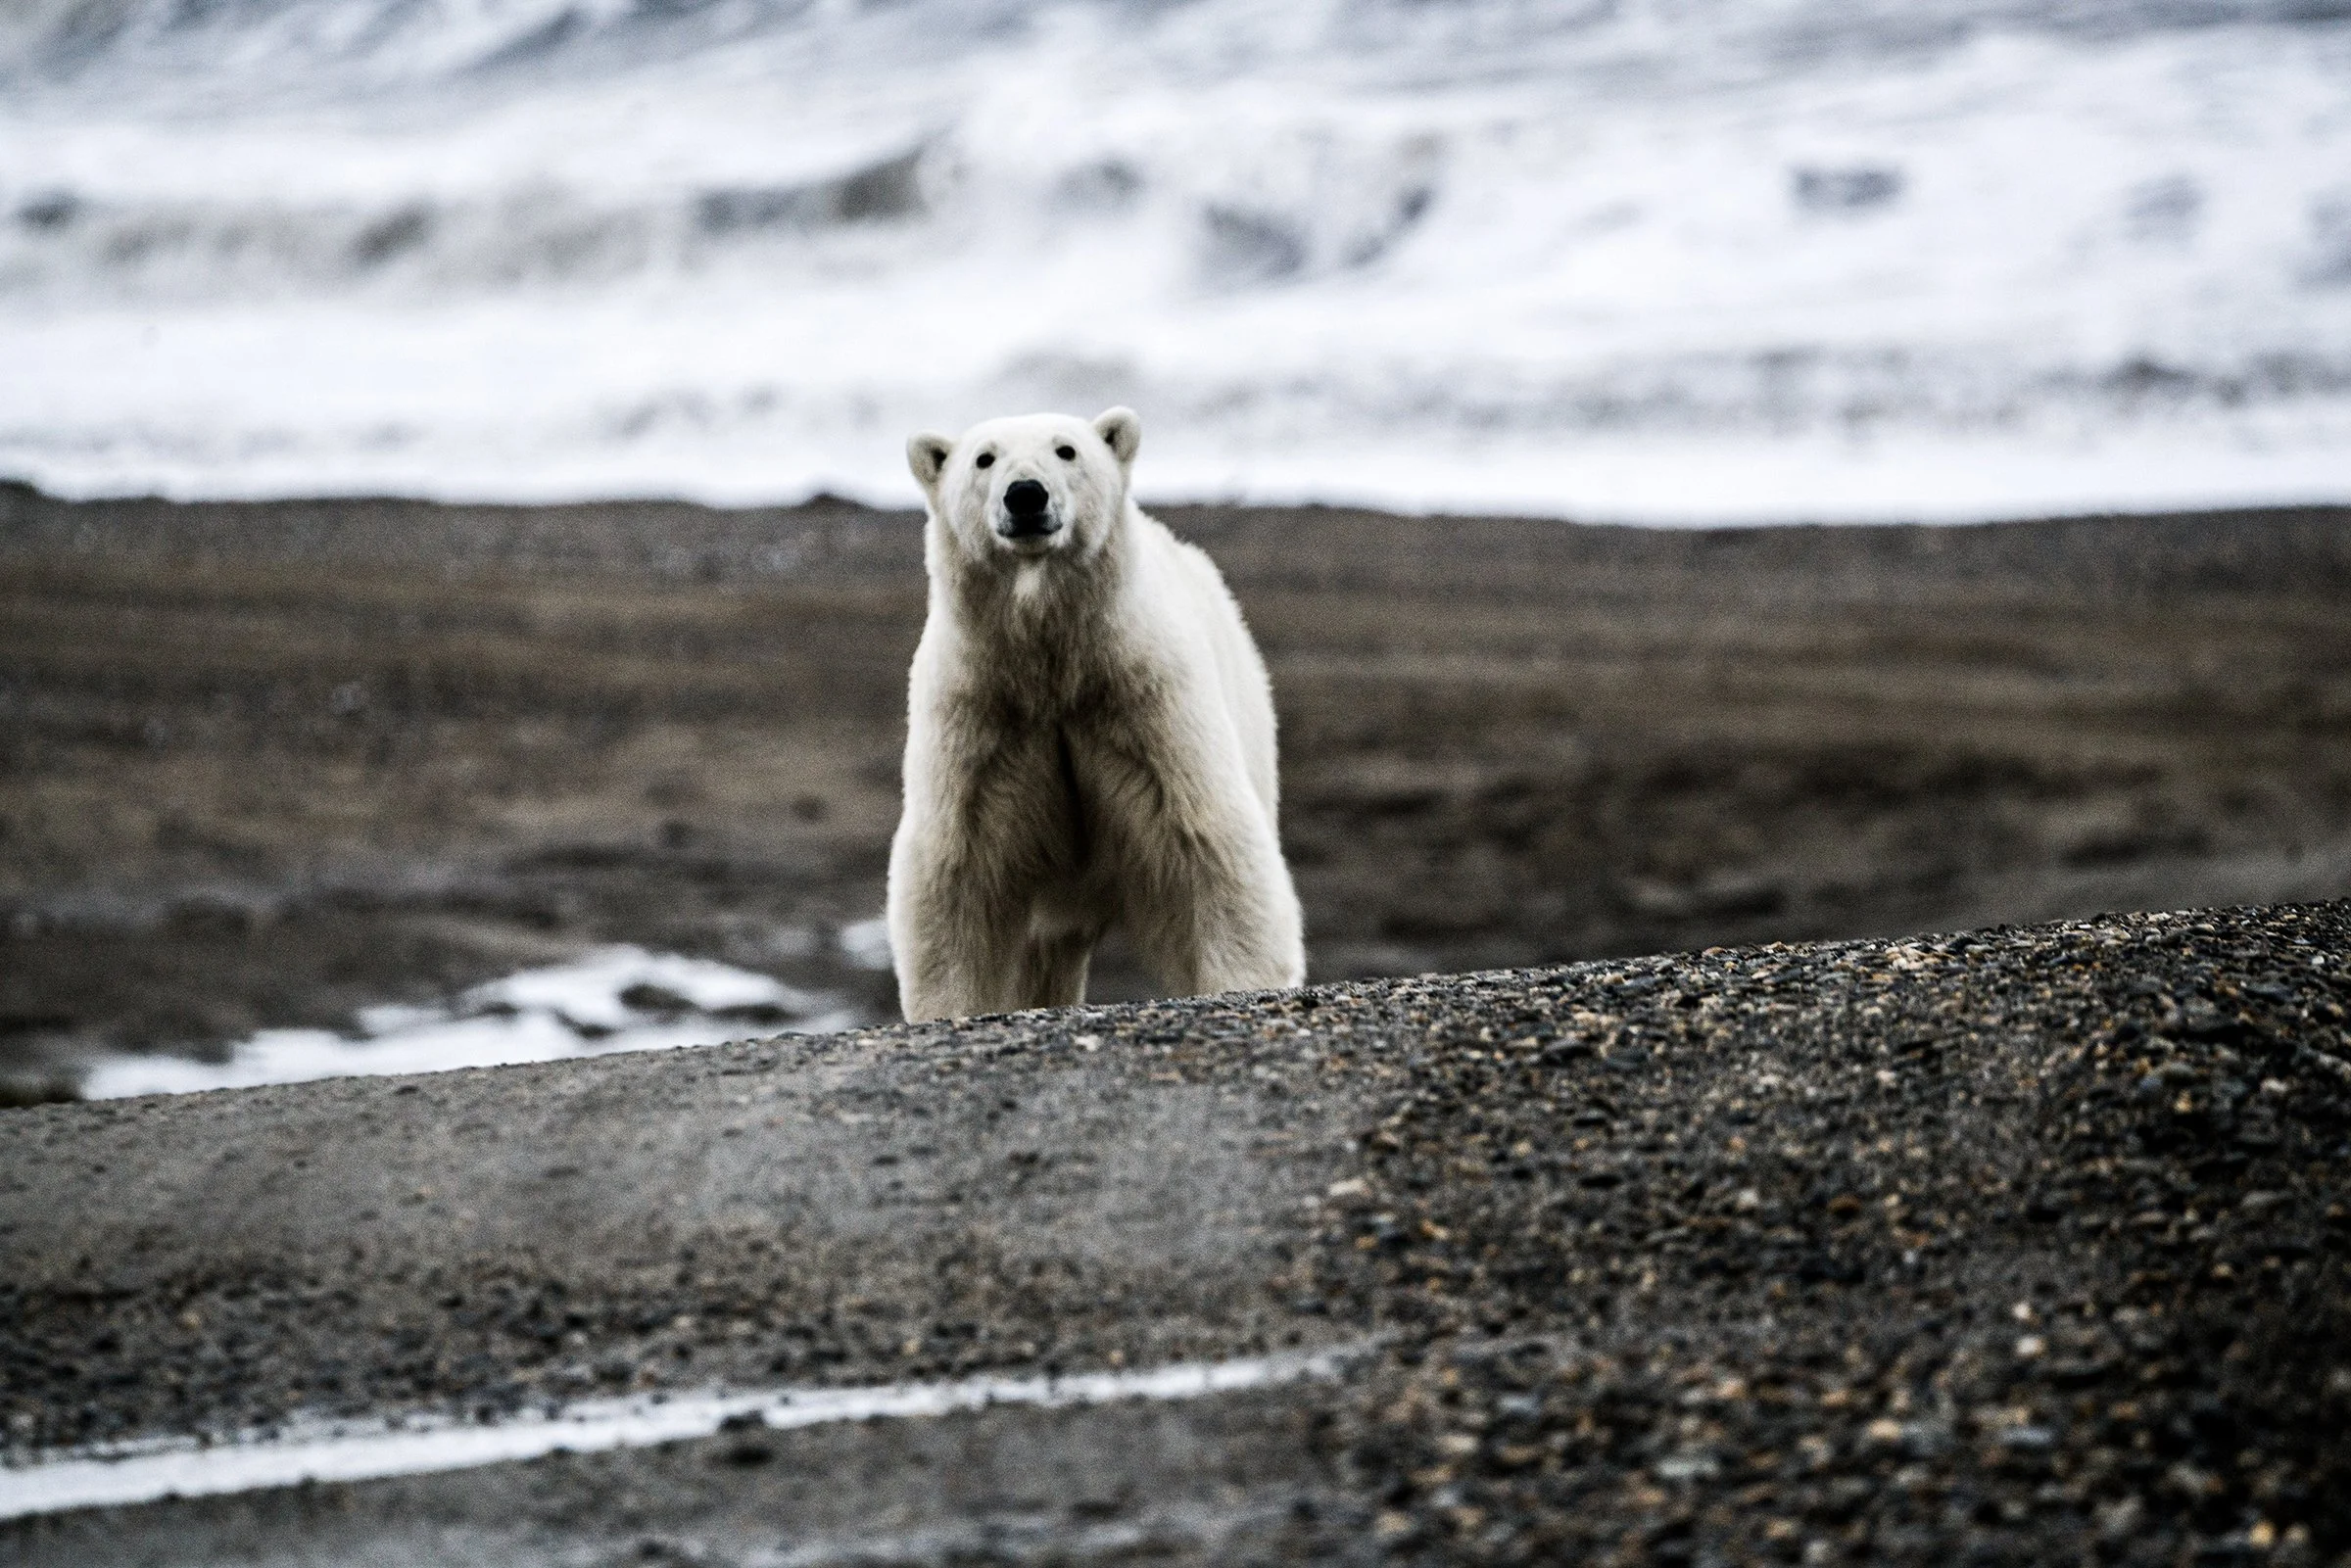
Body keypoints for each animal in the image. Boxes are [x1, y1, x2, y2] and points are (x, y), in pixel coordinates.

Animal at [886, 406, 1305, 1023]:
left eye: (1067, 450)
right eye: (984, 458)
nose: (1026, 495)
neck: (1056, 663)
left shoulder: (1147, 695)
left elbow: (1210, 836)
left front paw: (1243, 982)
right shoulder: (976, 709)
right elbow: (957, 862)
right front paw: (950, 1008)